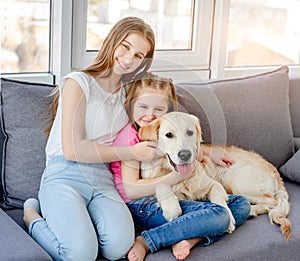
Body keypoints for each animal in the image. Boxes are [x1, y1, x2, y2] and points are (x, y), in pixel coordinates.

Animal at [139, 110, 292, 239]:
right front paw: (171, 207)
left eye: (190, 132)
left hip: (234, 179)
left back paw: (250, 210)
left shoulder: (214, 184)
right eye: (169, 135)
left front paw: (229, 218)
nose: (185, 154)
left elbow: (219, 198)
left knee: (271, 201)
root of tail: (274, 170)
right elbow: (161, 185)